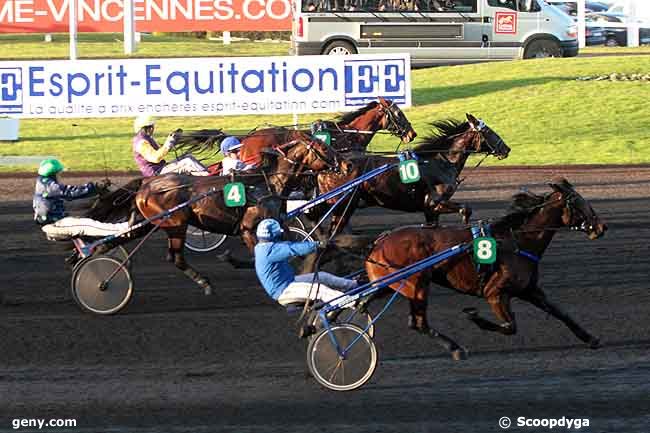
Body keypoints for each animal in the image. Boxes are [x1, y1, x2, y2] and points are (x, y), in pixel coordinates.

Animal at [88, 136, 346, 296]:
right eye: (324, 149)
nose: (343, 165)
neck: (266, 181)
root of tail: (146, 185)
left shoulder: (275, 224)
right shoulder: (248, 228)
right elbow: (258, 256)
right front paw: (232, 259)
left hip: (151, 222)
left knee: (125, 238)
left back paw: (96, 254)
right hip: (175, 223)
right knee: (175, 257)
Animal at [364, 177, 608, 360]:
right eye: (578, 202)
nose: (601, 227)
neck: (517, 241)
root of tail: (379, 241)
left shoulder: (530, 290)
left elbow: (560, 312)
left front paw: (590, 338)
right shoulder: (495, 293)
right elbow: (510, 326)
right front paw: (475, 317)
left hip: (392, 284)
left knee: (372, 304)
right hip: (417, 284)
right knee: (419, 322)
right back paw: (456, 349)